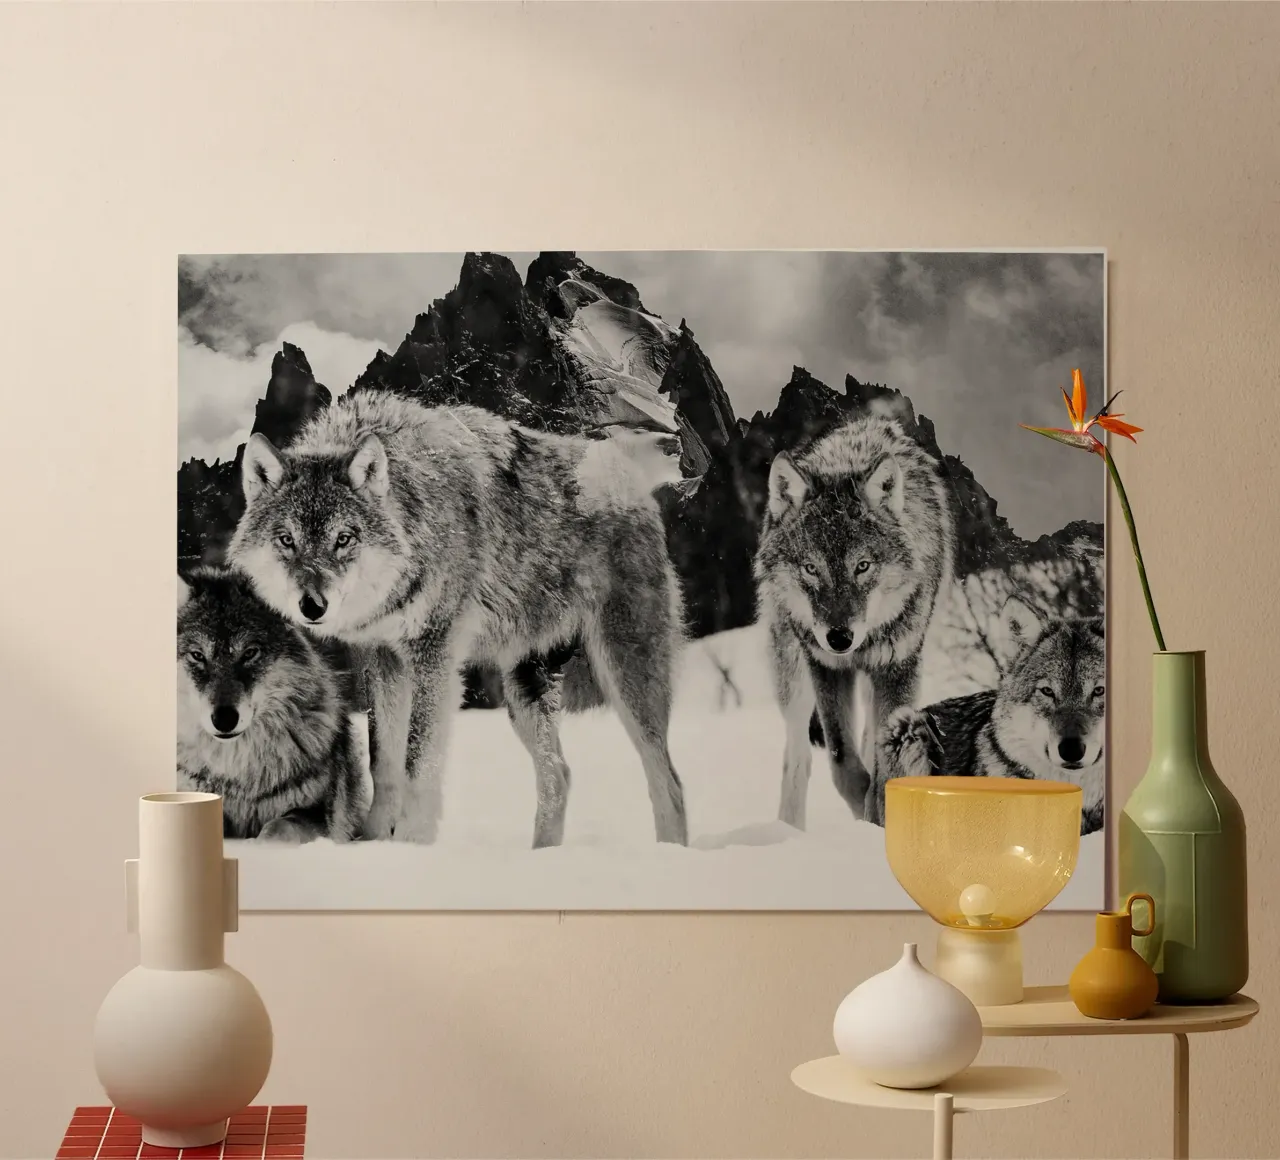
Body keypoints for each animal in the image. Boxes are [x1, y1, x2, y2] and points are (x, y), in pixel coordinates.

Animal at [177, 566, 371, 842]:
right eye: (197, 655)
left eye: (249, 653)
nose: (224, 719)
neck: (237, 771)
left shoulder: (315, 815)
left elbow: (277, 828)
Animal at [227, 392, 687, 848]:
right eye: (287, 540)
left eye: (344, 539)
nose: (312, 606)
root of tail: (627, 472)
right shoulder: (381, 657)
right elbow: (383, 760)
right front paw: (374, 840)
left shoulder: (435, 654)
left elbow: (417, 762)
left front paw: (411, 843)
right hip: (523, 688)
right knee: (559, 775)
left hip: (623, 673)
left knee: (668, 780)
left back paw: (669, 852)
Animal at [755, 416, 953, 829]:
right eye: (811, 568)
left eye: (862, 566)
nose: (840, 637)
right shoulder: (826, 667)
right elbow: (841, 761)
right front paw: (863, 807)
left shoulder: (898, 667)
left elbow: (885, 766)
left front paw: (878, 812)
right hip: (792, 674)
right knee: (798, 756)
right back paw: (789, 829)